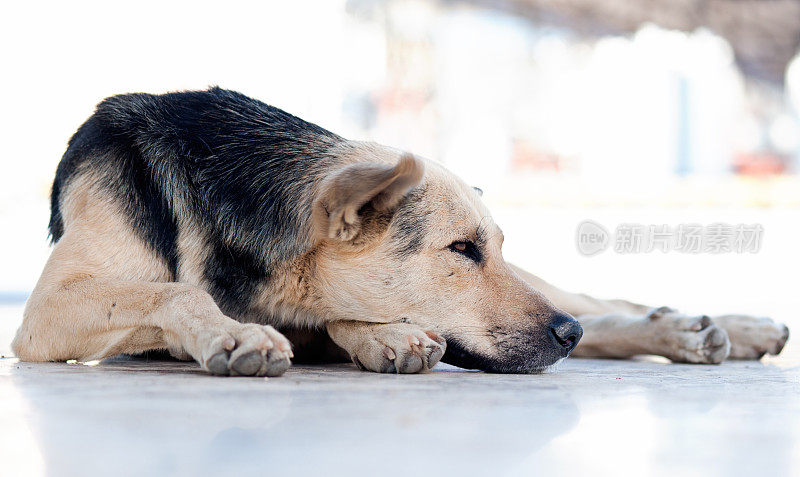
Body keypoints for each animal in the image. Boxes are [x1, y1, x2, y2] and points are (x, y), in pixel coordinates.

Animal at [9, 87, 792, 374]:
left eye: (491, 247)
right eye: (461, 250)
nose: (563, 335)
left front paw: (381, 335)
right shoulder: (45, 314)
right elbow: (175, 293)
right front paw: (235, 334)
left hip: (560, 300)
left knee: (608, 306)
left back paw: (713, 327)